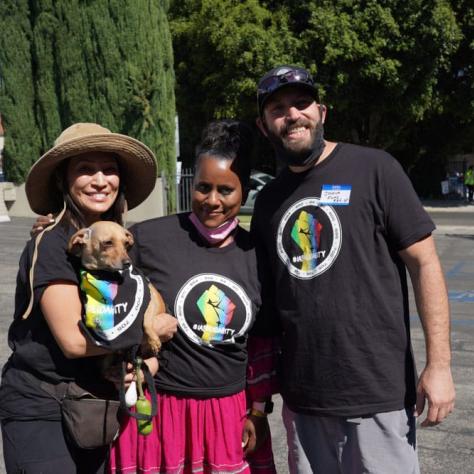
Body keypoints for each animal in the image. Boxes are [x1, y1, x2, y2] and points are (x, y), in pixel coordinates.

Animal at [67, 221, 166, 356]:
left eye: (126, 243)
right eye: (108, 242)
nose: (128, 263)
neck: (107, 275)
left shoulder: (152, 301)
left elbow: (146, 321)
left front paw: (153, 341)